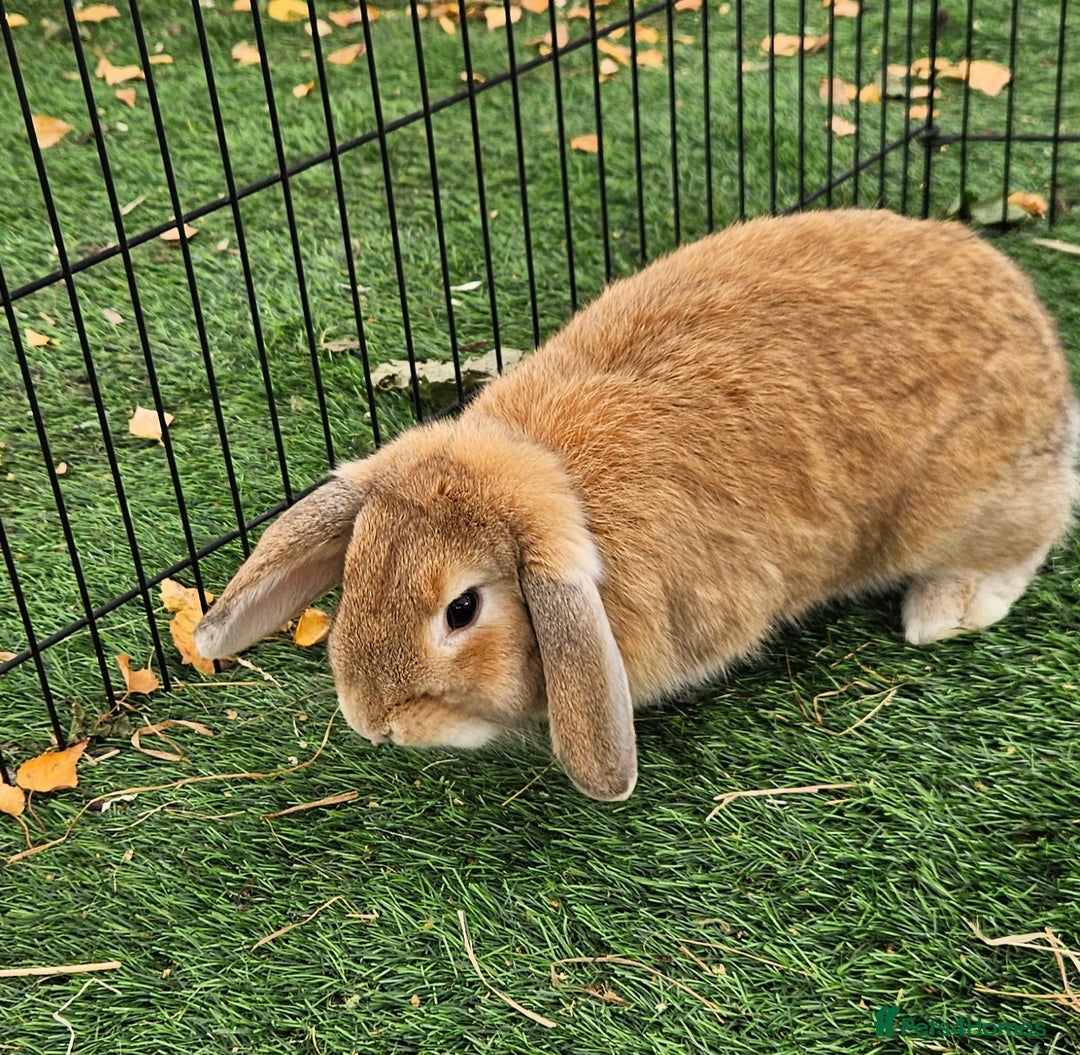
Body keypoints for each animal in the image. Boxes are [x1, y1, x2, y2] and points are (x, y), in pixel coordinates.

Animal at [195, 208, 1078, 801]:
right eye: (358, 566)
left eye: (463, 609)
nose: (373, 718)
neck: (559, 475)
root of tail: (1035, 325)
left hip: (966, 503)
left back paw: (947, 609)